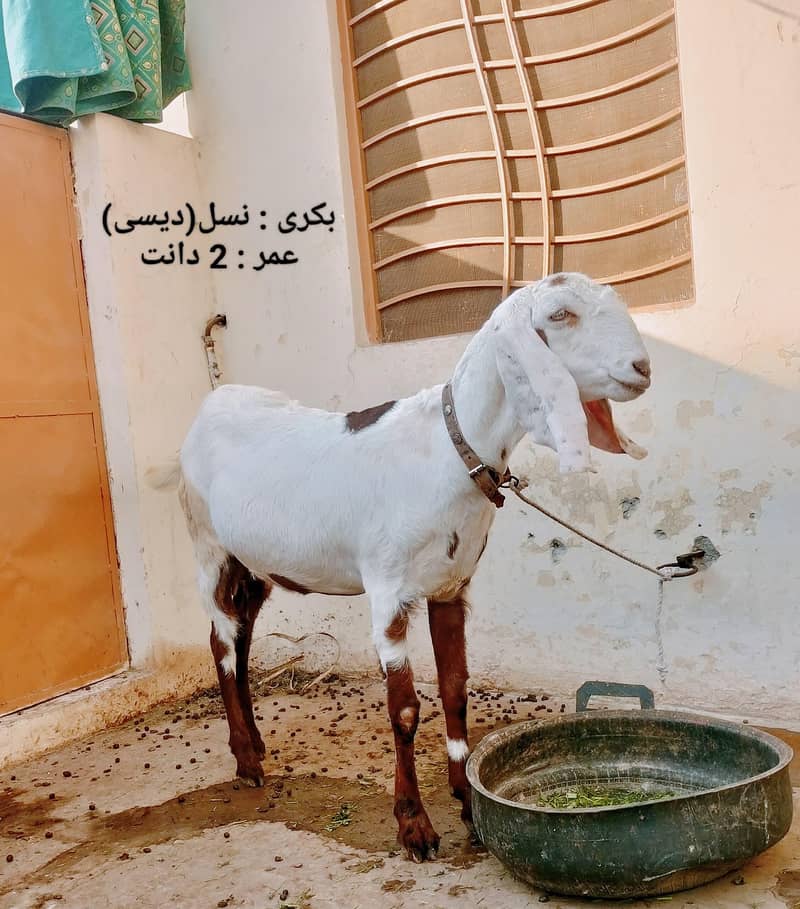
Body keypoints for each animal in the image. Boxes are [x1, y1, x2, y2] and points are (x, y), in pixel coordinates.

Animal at [147, 273, 651, 862]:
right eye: (559, 314)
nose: (642, 368)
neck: (448, 451)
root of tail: (211, 405)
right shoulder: (388, 590)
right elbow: (406, 709)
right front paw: (414, 826)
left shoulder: (451, 585)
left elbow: (455, 689)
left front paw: (468, 803)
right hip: (208, 544)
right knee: (222, 640)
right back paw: (247, 761)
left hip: (255, 564)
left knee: (240, 635)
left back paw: (254, 743)